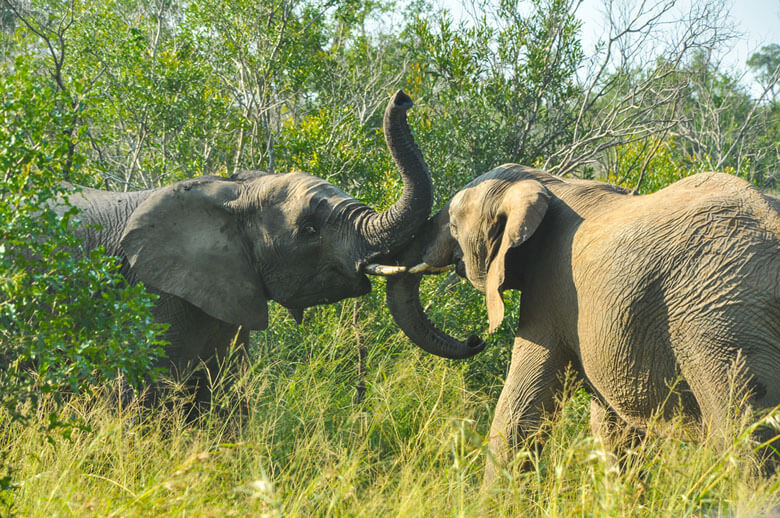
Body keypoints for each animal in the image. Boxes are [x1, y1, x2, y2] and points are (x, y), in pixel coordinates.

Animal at [54, 91, 432, 404]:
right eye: (309, 230)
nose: (403, 98)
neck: (232, 192)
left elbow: (225, 393)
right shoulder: (149, 294)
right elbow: (137, 394)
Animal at [384, 165, 780, 482]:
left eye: (452, 223)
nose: (474, 339)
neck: (550, 183)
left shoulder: (551, 292)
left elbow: (519, 412)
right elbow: (611, 430)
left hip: (720, 323)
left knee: (747, 448)